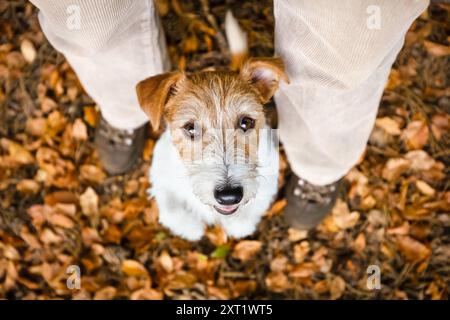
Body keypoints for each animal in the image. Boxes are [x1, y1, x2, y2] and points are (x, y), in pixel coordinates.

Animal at [135, 10, 288, 240]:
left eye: (246, 122)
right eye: (190, 128)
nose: (229, 196)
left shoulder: (268, 181)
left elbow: (251, 209)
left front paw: (239, 226)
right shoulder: (161, 179)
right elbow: (173, 210)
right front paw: (191, 229)